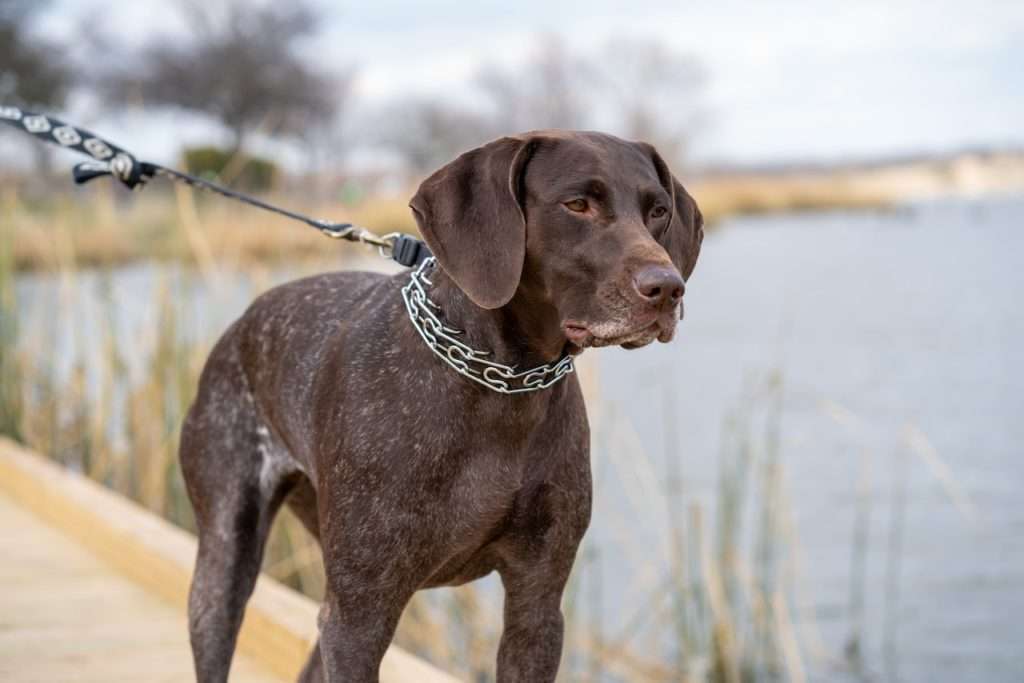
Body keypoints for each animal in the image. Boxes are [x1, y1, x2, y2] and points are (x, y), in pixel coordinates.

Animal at [178, 131, 704, 679]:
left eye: (658, 211)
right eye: (577, 204)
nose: (667, 288)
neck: (503, 385)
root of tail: (239, 326)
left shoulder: (537, 608)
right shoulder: (358, 618)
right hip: (223, 570)